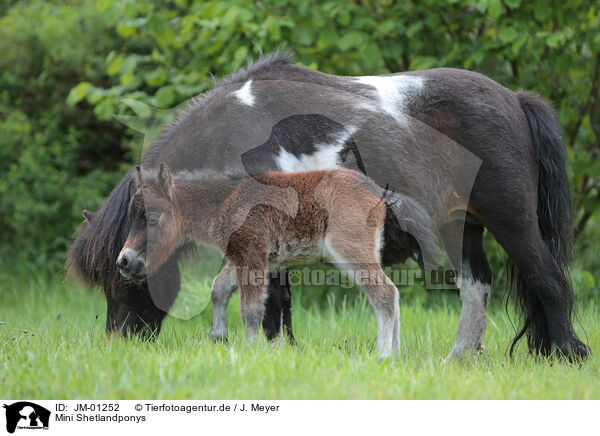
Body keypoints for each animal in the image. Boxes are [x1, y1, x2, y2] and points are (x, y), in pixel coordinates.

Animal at [69, 51, 584, 360]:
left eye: (121, 278)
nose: (120, 343)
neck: (238, 131)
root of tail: (515, 99)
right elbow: (251, 291)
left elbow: (270, 298)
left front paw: (271, 347)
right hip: (463, 227)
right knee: (476, 287)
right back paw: (457, 358)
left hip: (511, 221)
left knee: (547, 281)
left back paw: (566, 353)